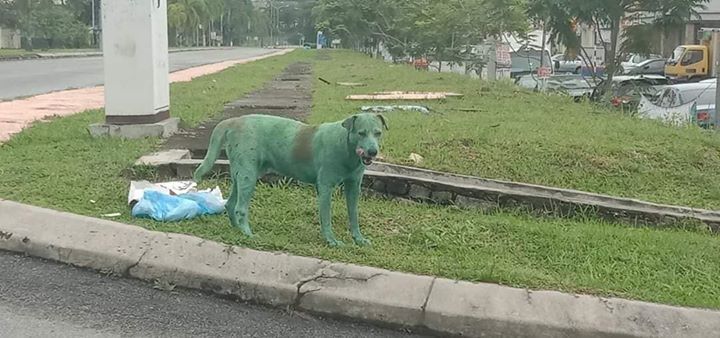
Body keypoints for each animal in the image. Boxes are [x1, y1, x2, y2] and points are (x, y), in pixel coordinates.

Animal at [193, 112, 388, 247]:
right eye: (361, 133)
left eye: (378, 133)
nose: (373, 152)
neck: (346, 145)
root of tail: (234, 121)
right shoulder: (325, 187)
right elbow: (326, 217)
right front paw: (331, 241)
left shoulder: (354, 186)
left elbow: (353, 214)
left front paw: (359, 239)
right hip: (248, 175)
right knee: (240, 208)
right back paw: (248, 234)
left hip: (240, 175)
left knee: (230, 204)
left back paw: (237, 230)